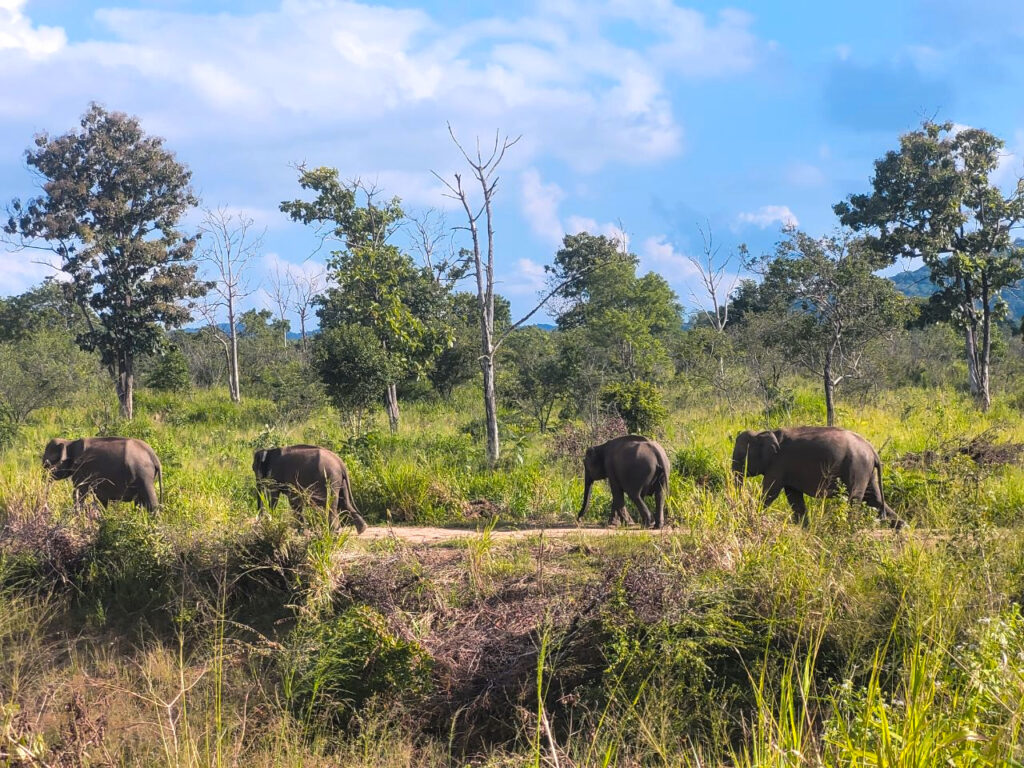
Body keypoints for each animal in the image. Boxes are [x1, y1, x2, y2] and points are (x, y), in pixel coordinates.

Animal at [729, 428, 905, 528]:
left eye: (741, 457)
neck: (764, 432)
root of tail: (873, 450)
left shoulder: (778, 464)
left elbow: (770, 492)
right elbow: (794, 497)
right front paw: (805, 528)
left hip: (858, 467)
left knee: (855, 498)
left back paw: (846, 529)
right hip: (868, 471)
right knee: (874, 499)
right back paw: (903, 526)